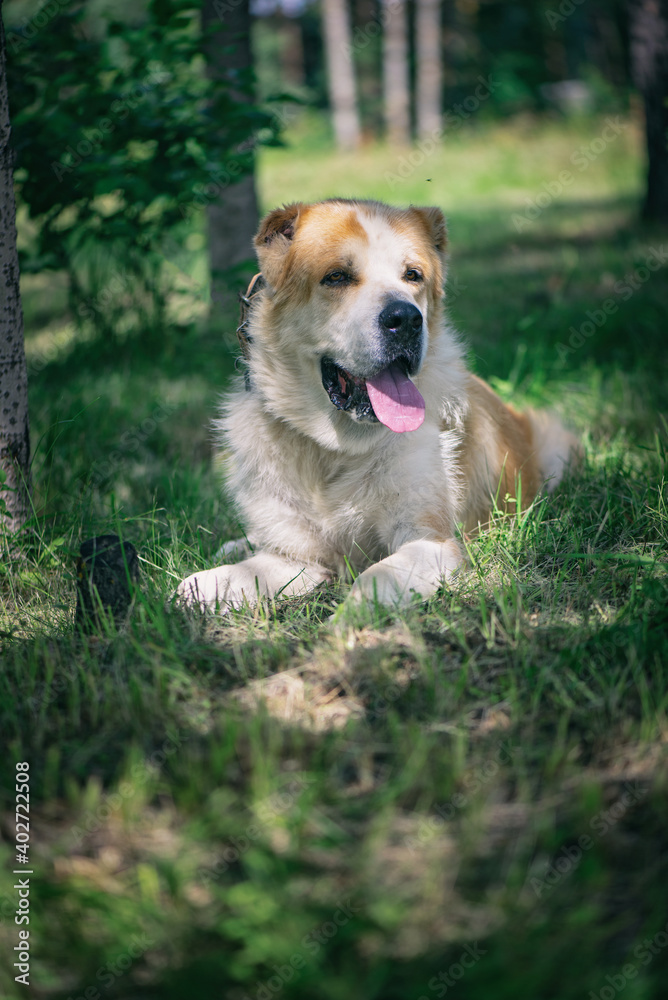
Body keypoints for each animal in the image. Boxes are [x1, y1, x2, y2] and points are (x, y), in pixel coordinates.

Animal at [179, 200, 580, 612]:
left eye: (413, 275)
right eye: (336, 277)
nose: (406, 319)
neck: (333, 450)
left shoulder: (430, 541)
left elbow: (376, 577)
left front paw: (349, 619)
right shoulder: (294, 558)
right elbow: (204, 582)